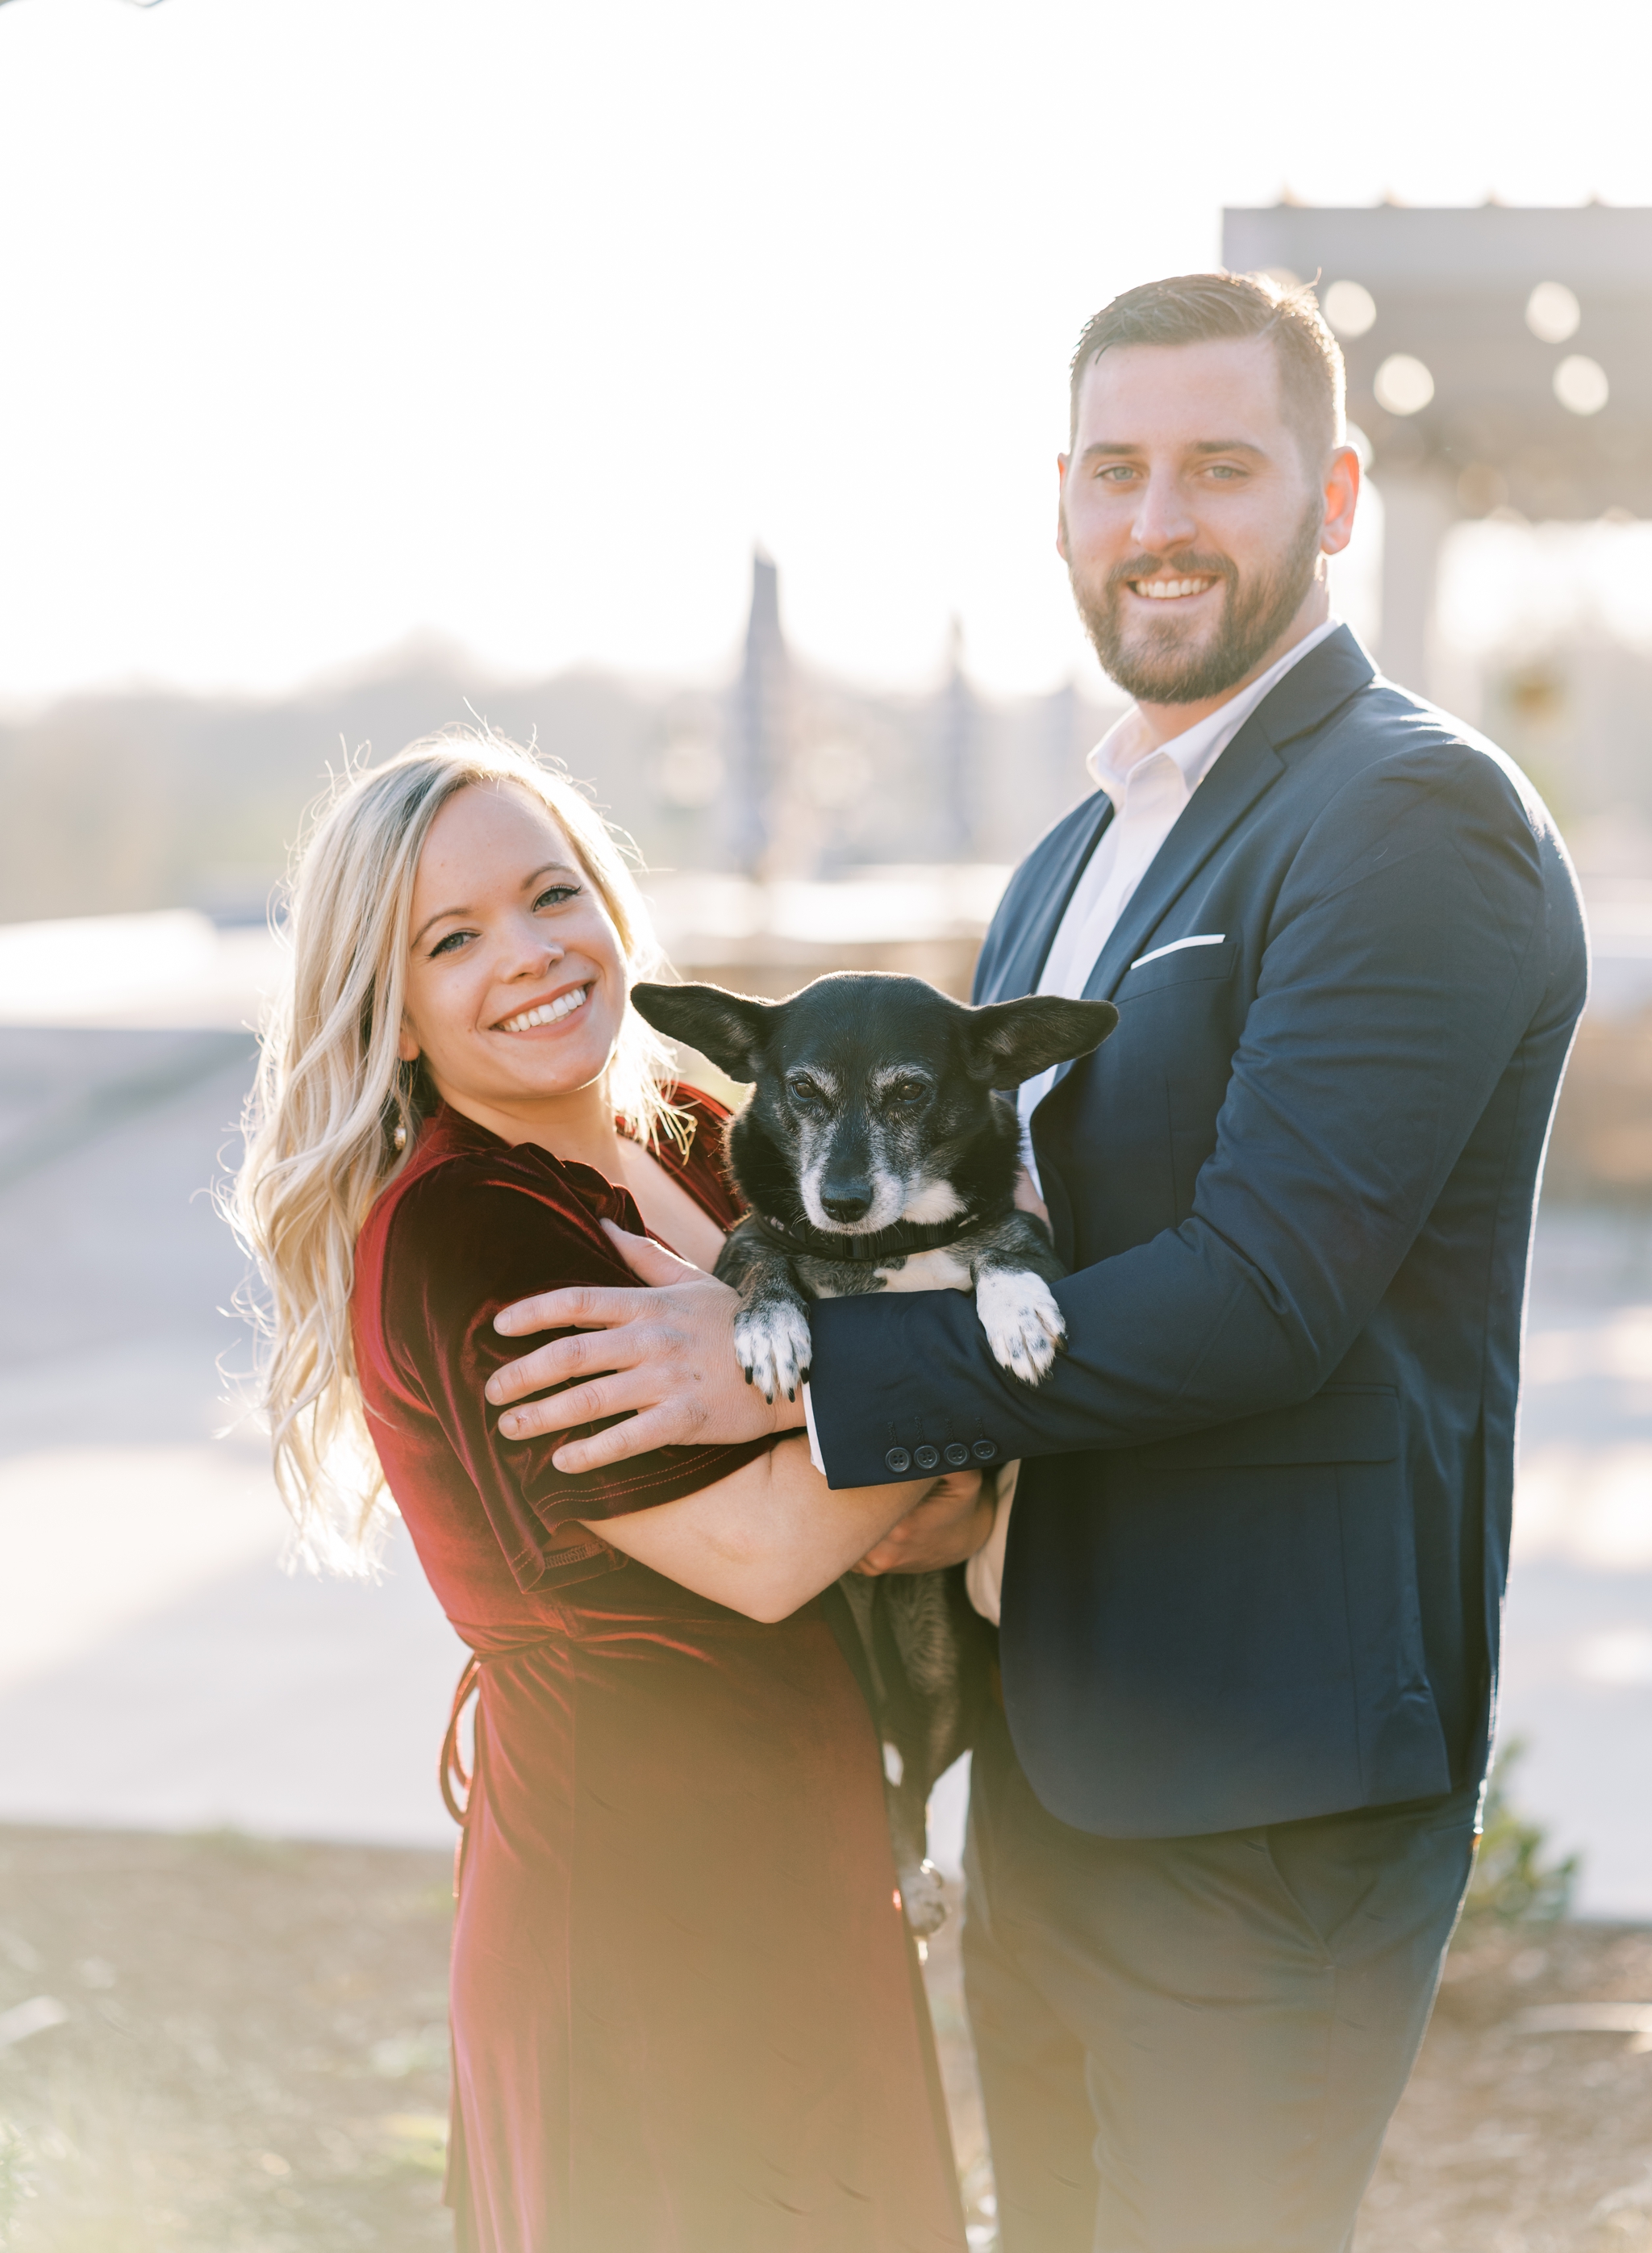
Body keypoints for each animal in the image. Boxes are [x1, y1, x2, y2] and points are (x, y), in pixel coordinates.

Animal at [626, 968, 1113, 1937]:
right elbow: (762, 1259)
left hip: (937, 1673)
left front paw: (1017, 1310)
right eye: (802, 1089)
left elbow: (1007, 1247)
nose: (840, 1201)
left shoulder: (1027, 1237)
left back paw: (914, 1876)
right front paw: (771, 1327)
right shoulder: (751, 1236)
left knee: (911, 1776)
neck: (882, 1245)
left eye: (911, 1093)